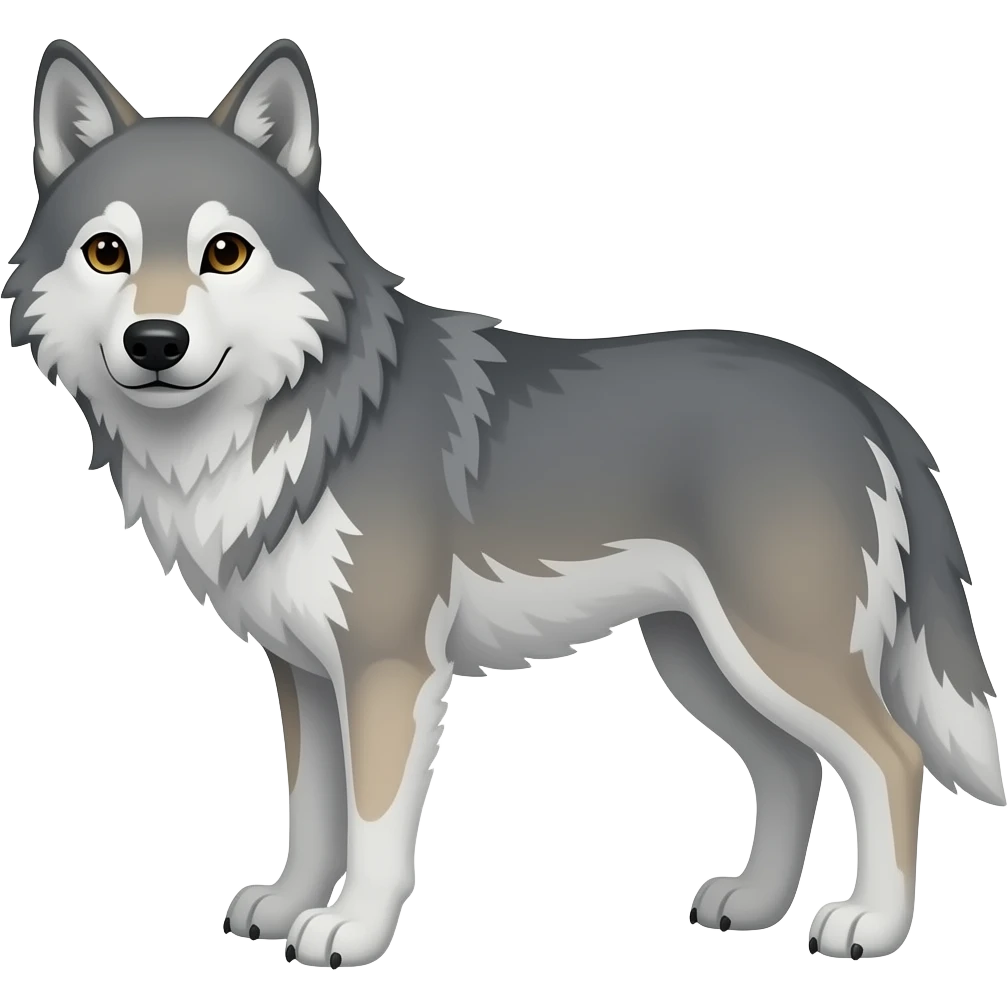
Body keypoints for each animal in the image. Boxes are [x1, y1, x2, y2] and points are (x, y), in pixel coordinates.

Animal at [5, 36, 1003, 969]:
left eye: (225, 253)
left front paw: (352, 932)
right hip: (703, 661)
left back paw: (871, 924)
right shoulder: (305, 674)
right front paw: (289, 908)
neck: (294, 423)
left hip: (775, 653)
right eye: (107, 253)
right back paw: (755, 905)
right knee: (794, 768)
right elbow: (315, 812)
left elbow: (374, 826)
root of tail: (859, 396)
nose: (155, 342)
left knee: (891, 759)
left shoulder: (389, 668)